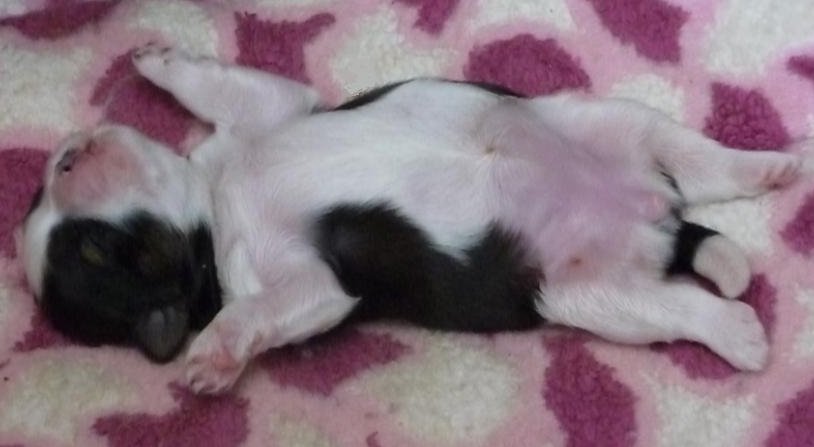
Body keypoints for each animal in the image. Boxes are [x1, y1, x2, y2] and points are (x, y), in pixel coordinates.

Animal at [21, 45, 802, 393]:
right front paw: (214, 355)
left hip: (601, 119)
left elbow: (218, 82)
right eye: (93, 255)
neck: (215, 198)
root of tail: (655, 217)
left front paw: (155, 59)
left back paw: (774, 165)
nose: (62, 157)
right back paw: (739, 333)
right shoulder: (304, 288)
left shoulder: (268, 109)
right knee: (680, 303)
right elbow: (255, 313)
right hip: (586, 295)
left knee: (699, 161)